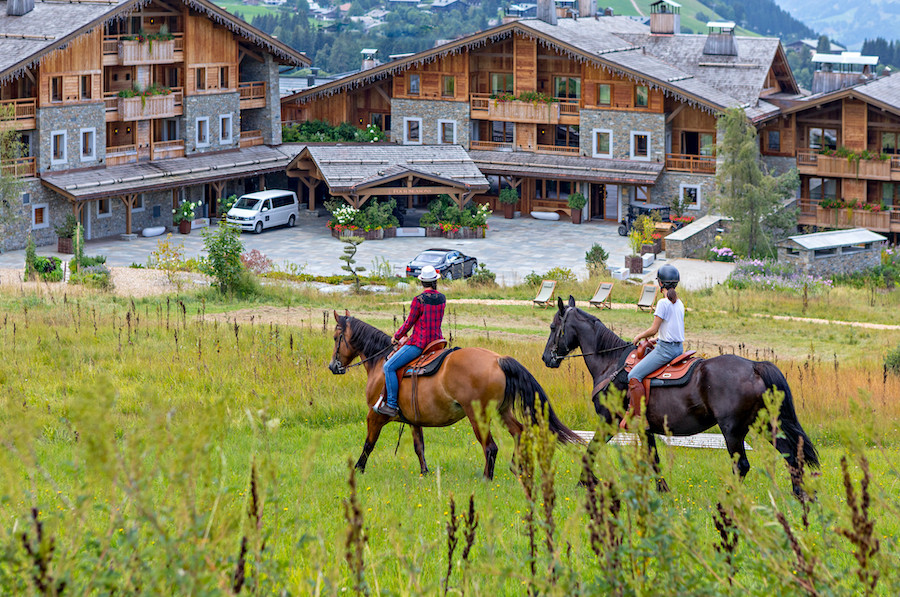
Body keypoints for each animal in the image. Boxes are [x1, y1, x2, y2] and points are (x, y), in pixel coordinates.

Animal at [326, 310, 580, 478]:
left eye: (336, 337)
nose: (333, 366)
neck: (381, 363)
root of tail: (498, 359)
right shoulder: (413, 420)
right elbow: (419, 446)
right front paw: (425, 472)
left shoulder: (375, 415)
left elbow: (368, 444)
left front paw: (358, 469)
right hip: (502, 411)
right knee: (519, 433)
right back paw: (516, 468)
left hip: (478, 416)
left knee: (491, 447)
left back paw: (487, 478)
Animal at [536, 296, 820, 496]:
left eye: (552, 326)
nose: (546, 358)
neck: (611, 363)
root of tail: (754, 366)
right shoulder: (645, 429)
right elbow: (654, 460)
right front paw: (662, 490)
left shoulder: (609, 421)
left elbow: (590, 451)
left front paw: (586, 482)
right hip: (765, 424)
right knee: (790, 455)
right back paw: (800, 494)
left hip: (733, 430)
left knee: (742, 465)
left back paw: (730, 497)